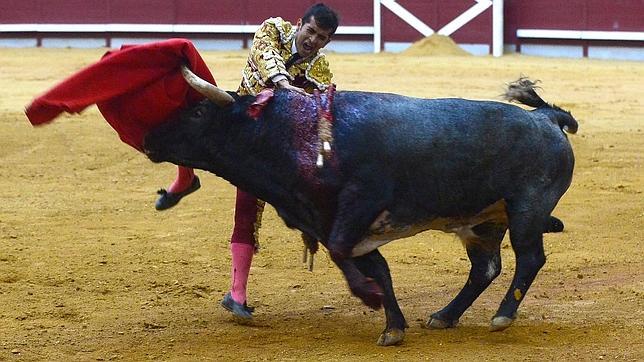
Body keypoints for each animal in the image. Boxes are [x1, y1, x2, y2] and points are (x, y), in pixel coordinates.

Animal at [145, 66, 580, 346]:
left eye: (198, 111)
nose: (149, 139)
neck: (293, 134)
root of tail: (544, 117)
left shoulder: (359, 205)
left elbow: (345, 255)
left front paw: (371, 300)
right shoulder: (332, 222)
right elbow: (376, 268)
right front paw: (393, 326)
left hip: (527, 211)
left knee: (529, 259)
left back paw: (502, 315)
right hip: (482, 223)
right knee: (486, 267)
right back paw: (444, 316)